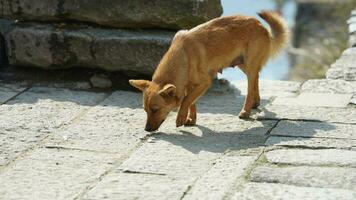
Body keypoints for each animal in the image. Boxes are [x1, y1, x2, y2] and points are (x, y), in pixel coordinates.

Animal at [129, 10, 288, 131]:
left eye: (155, 110)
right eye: (145, 110)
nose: (147, 129)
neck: (182, 55)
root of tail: (261, 25)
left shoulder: (204, 83)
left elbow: (186, 100)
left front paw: (181, 117)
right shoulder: (190, 85)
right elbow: (191, 101)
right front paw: (190, 118)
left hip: (249, 65)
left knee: (250, 87)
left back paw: (246, 110)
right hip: (243, 64)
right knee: (256, 78)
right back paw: (256, 102)